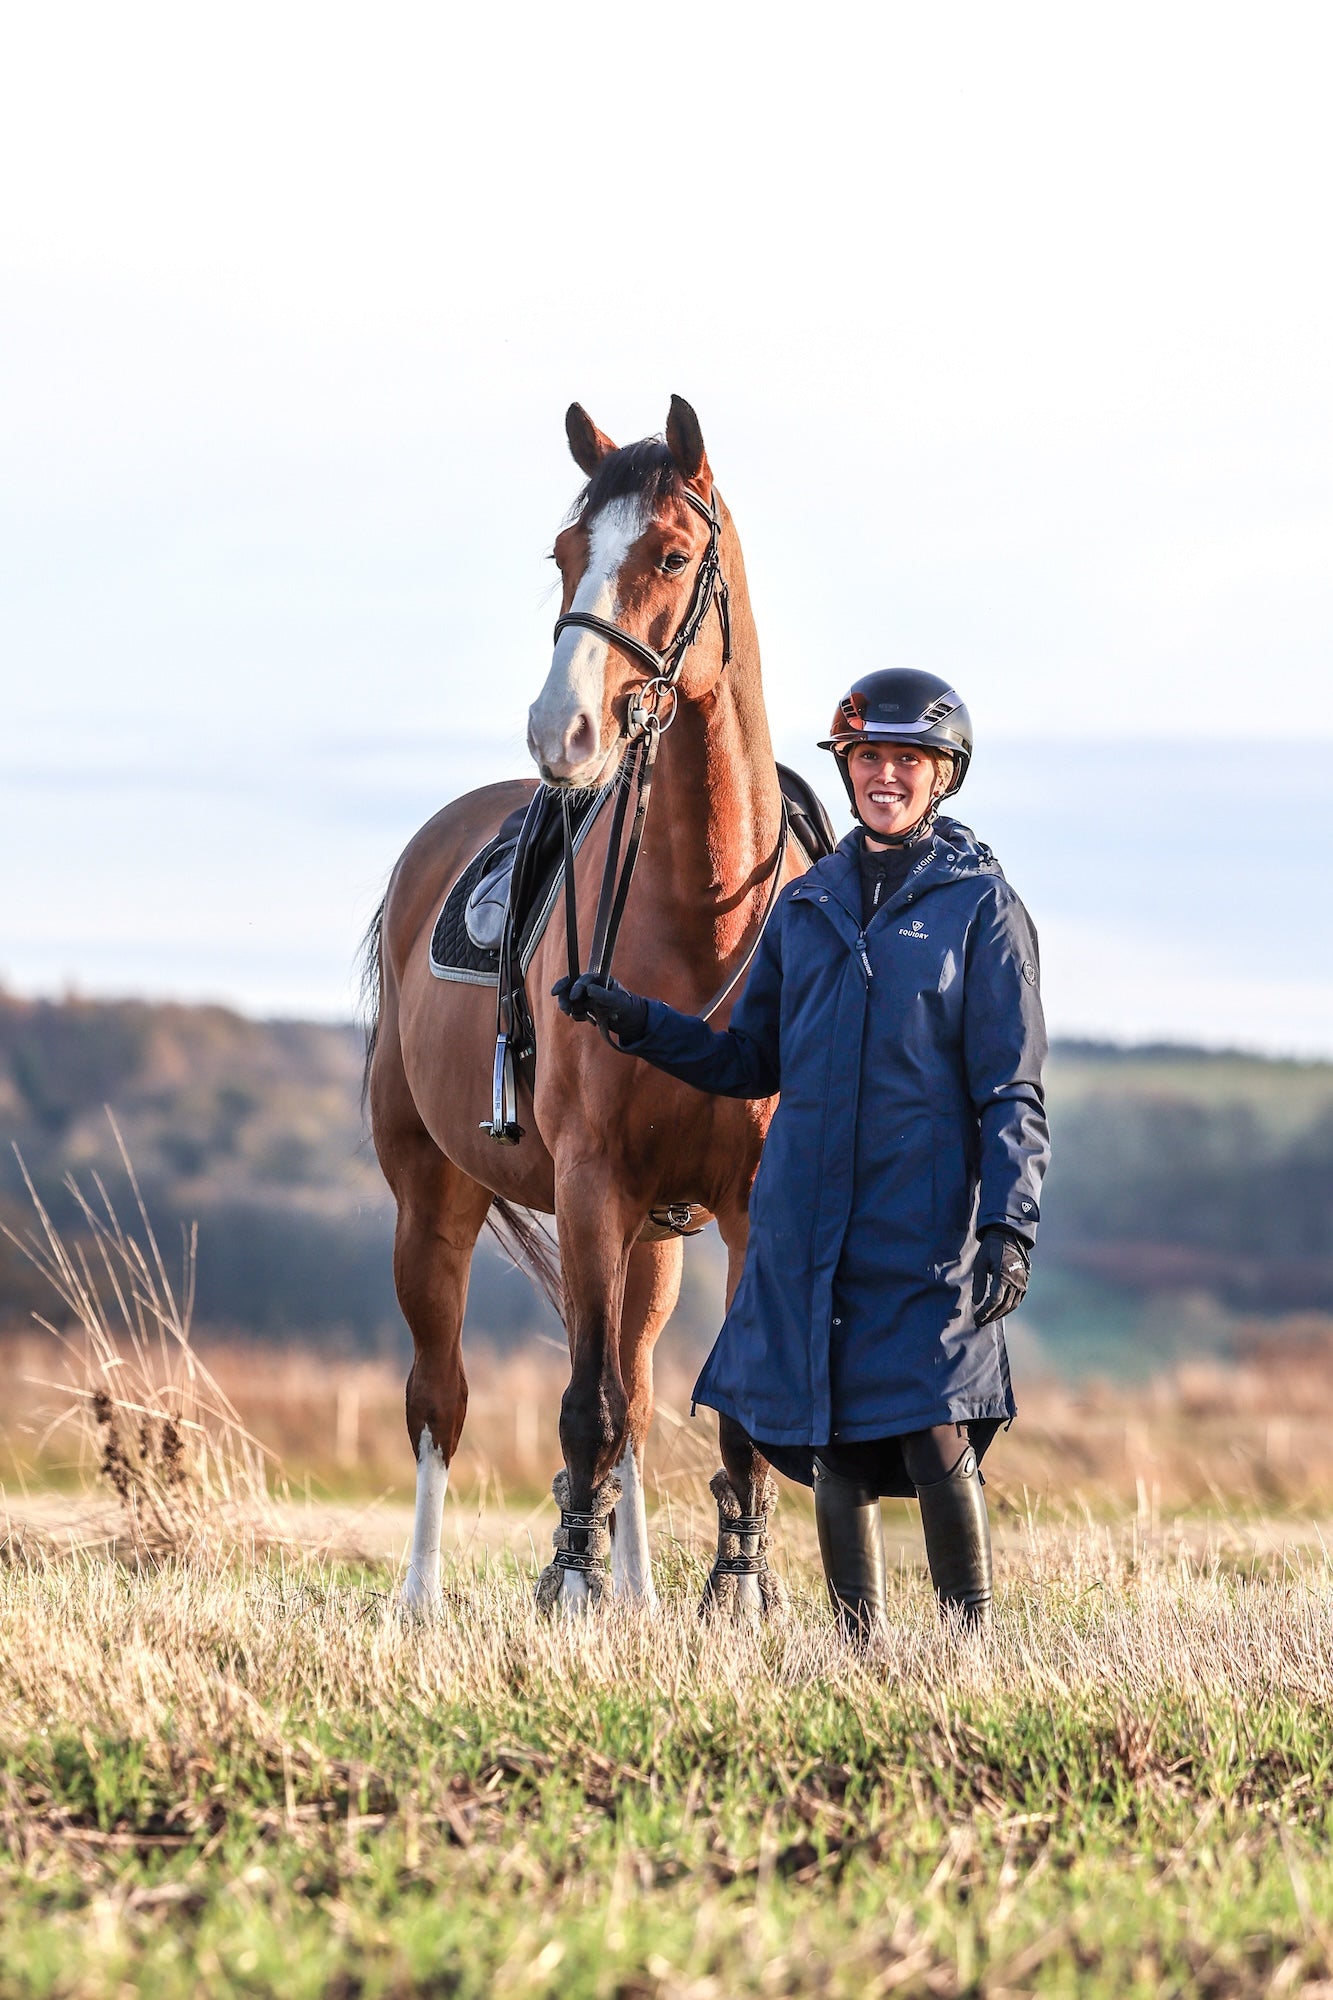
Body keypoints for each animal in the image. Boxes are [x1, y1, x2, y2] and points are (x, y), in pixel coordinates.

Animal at [358, 398, 804, 1616]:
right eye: (564, 554)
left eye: (673, 555)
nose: (561, 731)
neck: (701, 918)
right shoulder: (592, 1179)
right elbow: (582, 1408)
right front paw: (568, 1582)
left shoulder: (742, 1203)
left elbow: (711, 1415)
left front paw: (736, 1591)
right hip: (436, 1204)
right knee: (442, 1398)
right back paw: (423, 1597)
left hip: (652, 1239)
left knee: (638, 1402)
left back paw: (642, 1589)